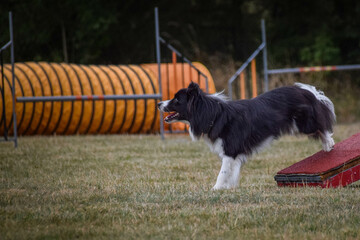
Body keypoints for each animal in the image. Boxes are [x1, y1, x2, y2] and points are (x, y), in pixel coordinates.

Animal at [158, 82, 334, 189]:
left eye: (176, 100)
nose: (159, 103)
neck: (211, 113)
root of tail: (307, 91)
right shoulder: (235, 154)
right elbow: (232, 171)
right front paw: (228, 188)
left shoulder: (230, 149)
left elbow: (222, 172)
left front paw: (215, 189)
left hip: (304, 123)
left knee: (322, 127)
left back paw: (329, 144)